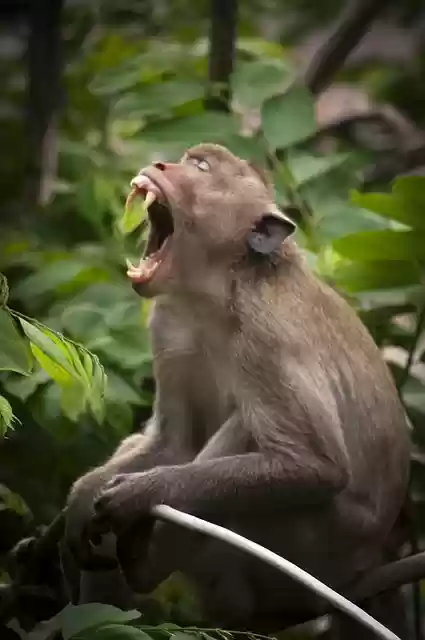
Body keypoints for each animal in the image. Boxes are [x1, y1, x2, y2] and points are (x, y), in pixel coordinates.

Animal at [61, 143, 411, 638]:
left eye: (201, 167)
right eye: (188, 159)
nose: (161, 164)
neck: (217, 290)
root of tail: (368, 562)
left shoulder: (267, 335)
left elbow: (314, 466)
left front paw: (138, 494)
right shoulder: (168, 324)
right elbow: (174, 442)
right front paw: (81, 497)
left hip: (316, 545)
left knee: (248, 431)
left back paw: (145, 564)